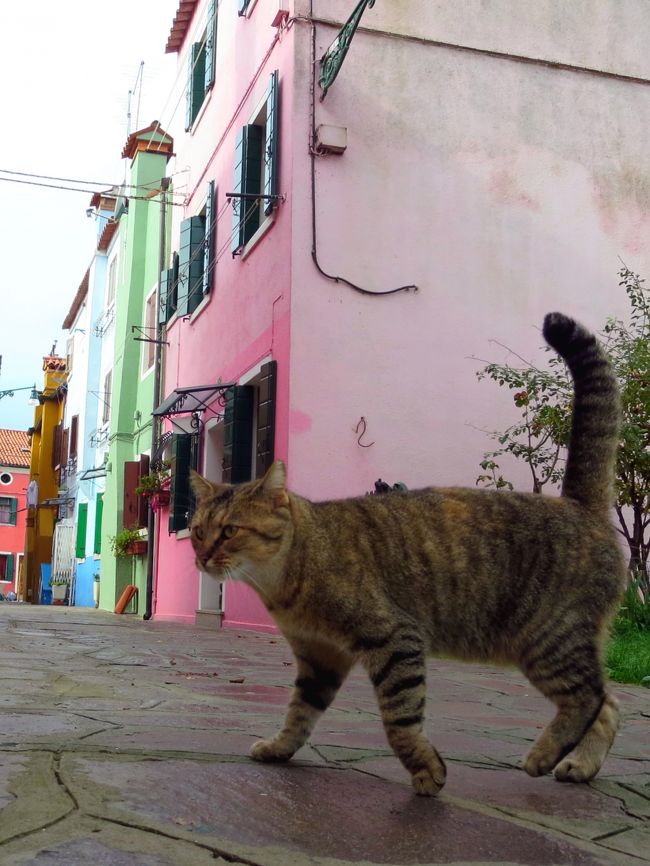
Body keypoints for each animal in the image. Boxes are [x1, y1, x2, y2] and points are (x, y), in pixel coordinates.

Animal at [189, 314, 624, 792]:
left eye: (229, 531)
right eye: (197, 531)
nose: (201, 557)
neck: (285, 580)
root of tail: (578, 505)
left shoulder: (395, 637)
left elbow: (399, 719)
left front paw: (426, 769)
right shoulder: (319, 657)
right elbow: (299, 714)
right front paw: (278, 747)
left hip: (547, 639)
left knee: (589, 696)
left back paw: (544, 754)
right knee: (609, 703)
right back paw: (579, 764)